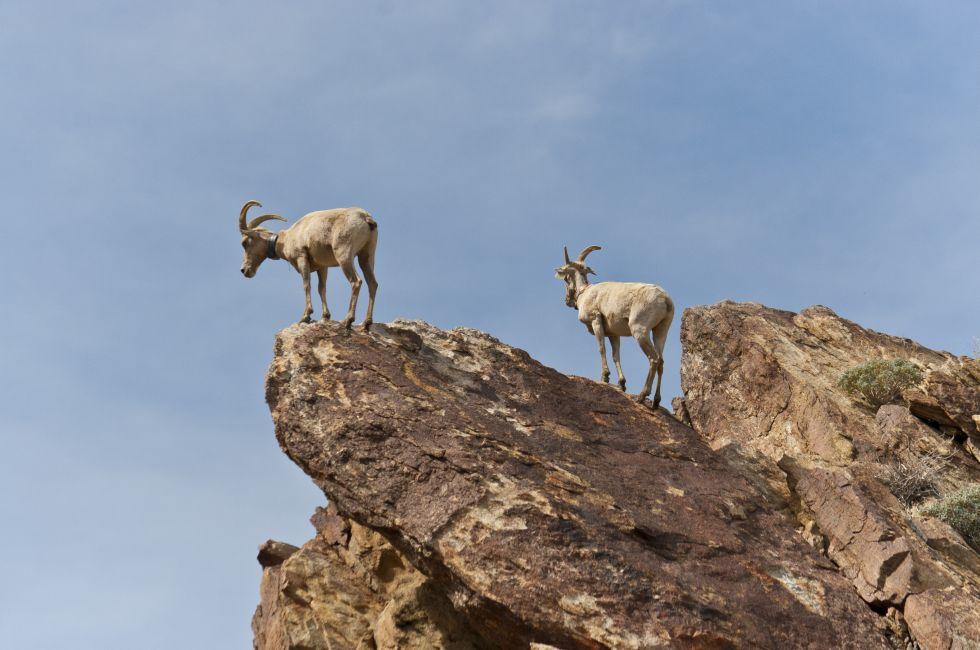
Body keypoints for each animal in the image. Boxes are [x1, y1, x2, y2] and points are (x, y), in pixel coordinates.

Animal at [238, 200, 379, 329]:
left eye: (245, 243)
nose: (244, 270)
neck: (287, 239)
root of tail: (365, 217)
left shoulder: (302, 258)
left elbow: (307, 285)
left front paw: (305, 316)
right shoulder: (322, 267)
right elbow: (321, 288)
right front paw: (325, 316)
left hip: (344, 256)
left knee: (356, 282)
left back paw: (348, 320)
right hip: (366, 256)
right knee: (372, 284)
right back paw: (366, 323)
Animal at [555, 245, 674, 408]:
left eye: (566, 278)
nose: (567, 301)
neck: (585, 293)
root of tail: (665, 300)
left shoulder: (596, 320)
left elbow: (601, 348)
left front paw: (605, 377)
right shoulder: (613, 334)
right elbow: (616, 355)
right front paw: (622, 384)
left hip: (640, 330)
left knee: (654, 359)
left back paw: (642, 396)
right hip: (660, 330)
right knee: (661, 361)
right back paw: (656, 402)